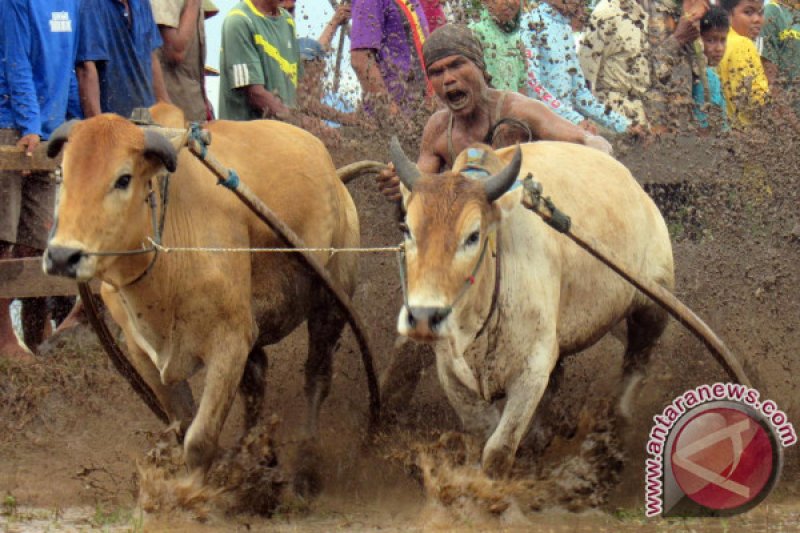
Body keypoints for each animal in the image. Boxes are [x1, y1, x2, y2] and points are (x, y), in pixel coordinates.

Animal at [40, 109, 360, 478]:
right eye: (63, 174)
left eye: (123, 178)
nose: (62, 256)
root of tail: (334, 177)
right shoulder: (143, 354)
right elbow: (182, 428)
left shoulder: (230, 342)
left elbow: (199, 440)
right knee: (257, 382)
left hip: (330, 306)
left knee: (316, 378)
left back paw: (306, 463)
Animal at [390, 138, 672, 478]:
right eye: (407, 230)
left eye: (473, 236)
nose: (422, 318)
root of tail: (641, 193)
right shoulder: (450, 370)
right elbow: (483, 430)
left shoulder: (532, 371)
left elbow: (497, 451)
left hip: (652, 307)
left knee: (635, 366)